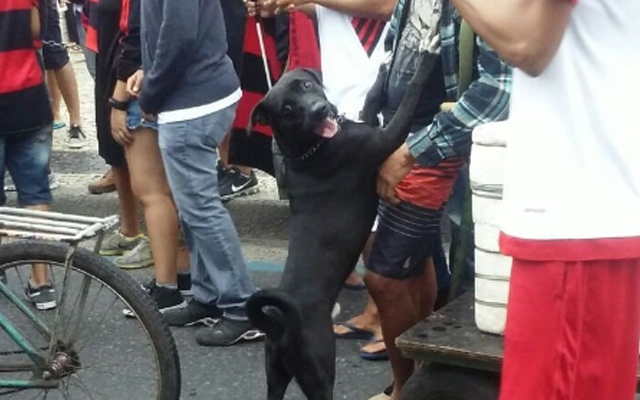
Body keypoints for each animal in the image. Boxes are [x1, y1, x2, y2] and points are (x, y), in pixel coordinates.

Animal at [248, 47, 438, 400]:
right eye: (287, 109)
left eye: (306, 85)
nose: (321, 109)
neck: (308, 149)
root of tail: (280, 326)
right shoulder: (387, 137)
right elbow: (412, 91)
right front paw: (426, 56)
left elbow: (373, 100)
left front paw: (383, 69)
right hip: (319, 370)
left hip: (275, 375)